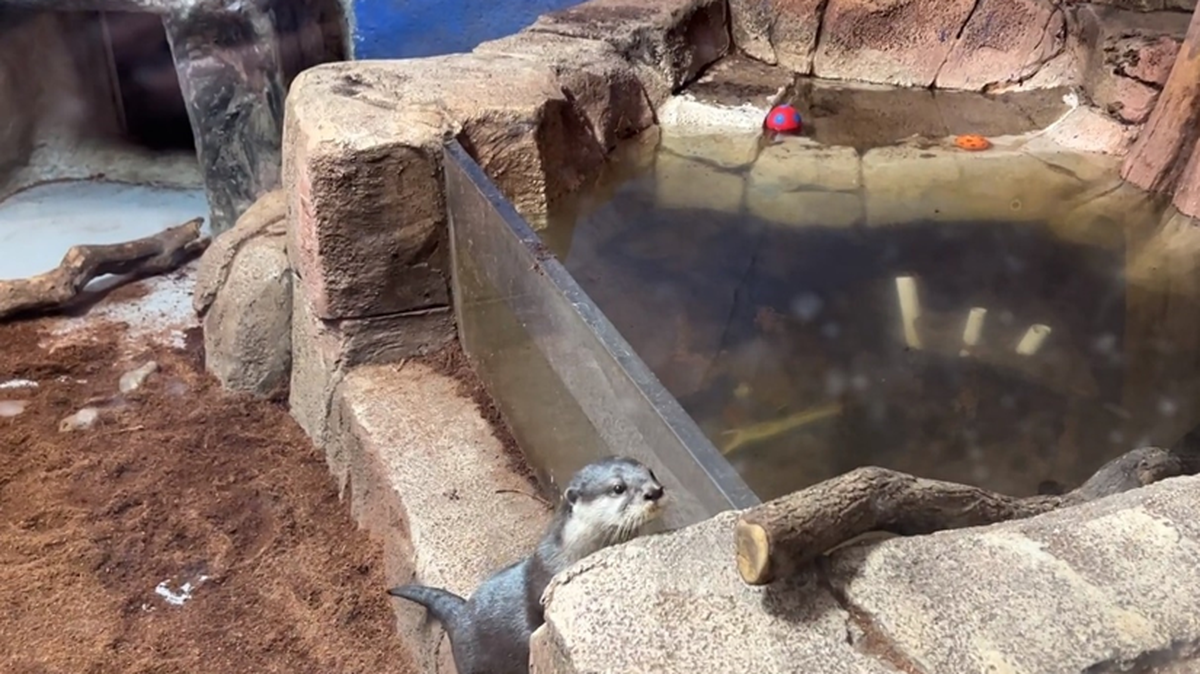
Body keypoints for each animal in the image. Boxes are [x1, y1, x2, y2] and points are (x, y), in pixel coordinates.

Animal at [387, 456, 667, 674]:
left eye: (651, 471)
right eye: (618, 487)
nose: (655, 491)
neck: (569, 554)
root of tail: (460, 616)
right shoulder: (543, 582)